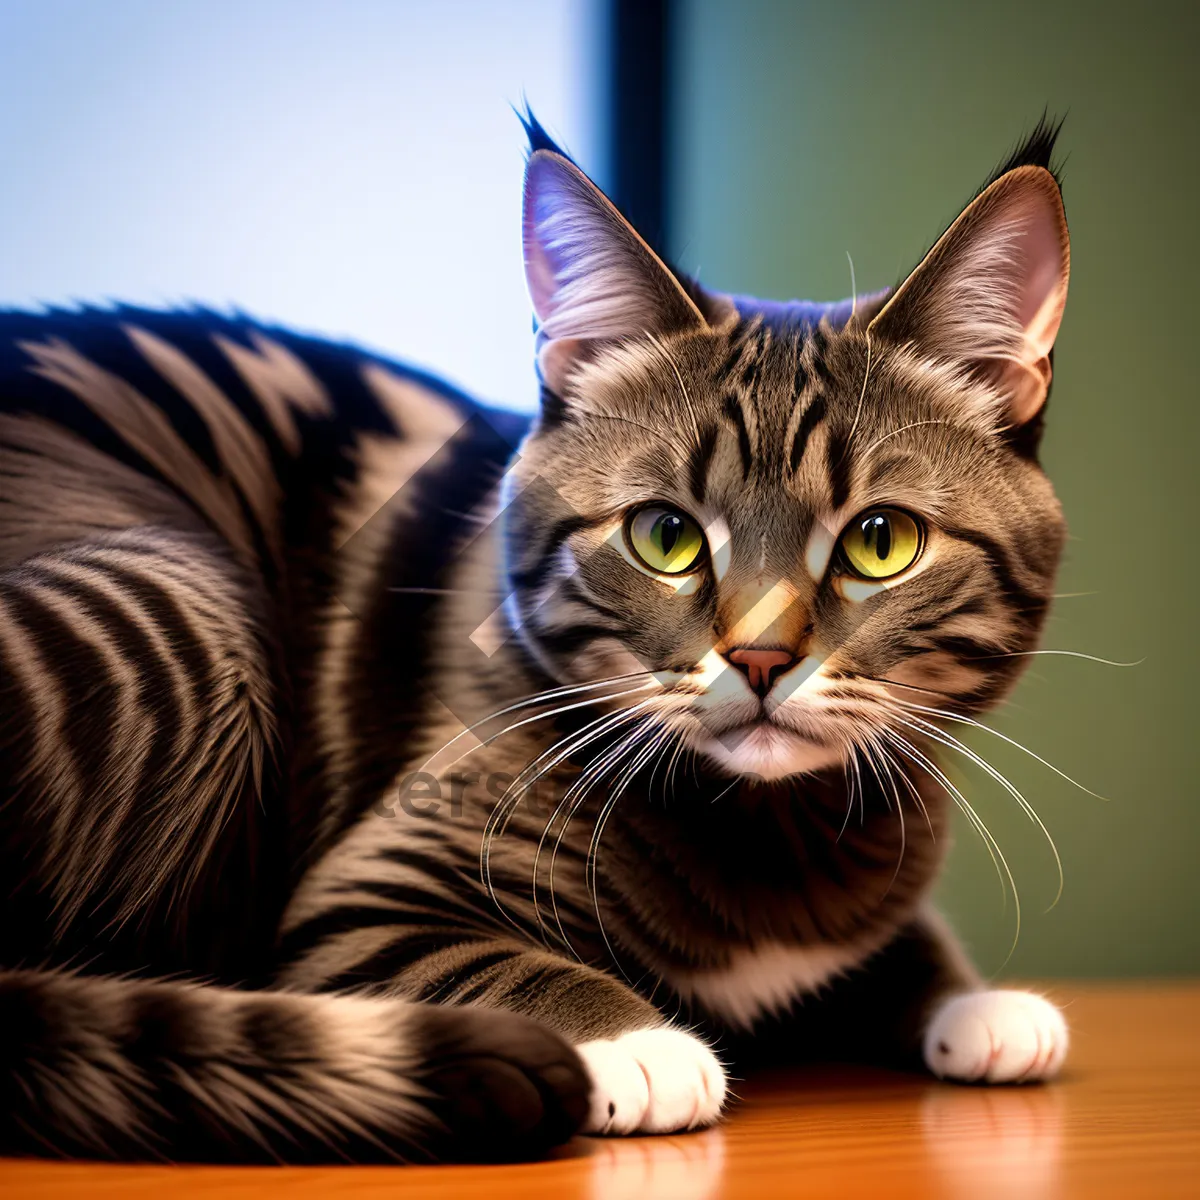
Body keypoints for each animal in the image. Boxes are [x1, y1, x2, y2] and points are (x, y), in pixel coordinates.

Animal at [0, 114, 1070, 1161]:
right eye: (665, 535)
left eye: (881, 542)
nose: (761, 658)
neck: (772, 834)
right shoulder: (370, 891)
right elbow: (493, 957)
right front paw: (634, 1040)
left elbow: (904, 943)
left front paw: (977, 1005)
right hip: (189, 601)